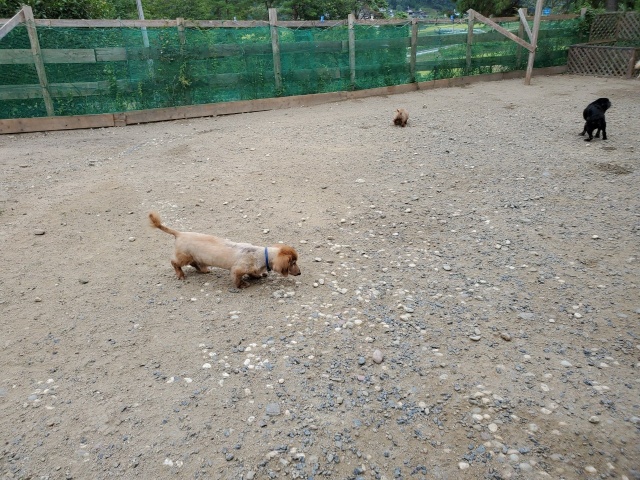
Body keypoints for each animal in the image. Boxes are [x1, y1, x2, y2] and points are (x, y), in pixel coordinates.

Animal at [149, 212, 300, 289]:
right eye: (292, 263)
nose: (299, 273)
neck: (261, 255)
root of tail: (180, 233)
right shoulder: (237, 270)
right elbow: (237, 279)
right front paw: (242, 284)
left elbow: (253, 273)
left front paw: (256, 276)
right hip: (184, 256)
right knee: (175, 263)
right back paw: (180, 274)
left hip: (195, 256)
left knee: (194, 263)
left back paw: (203, 270)